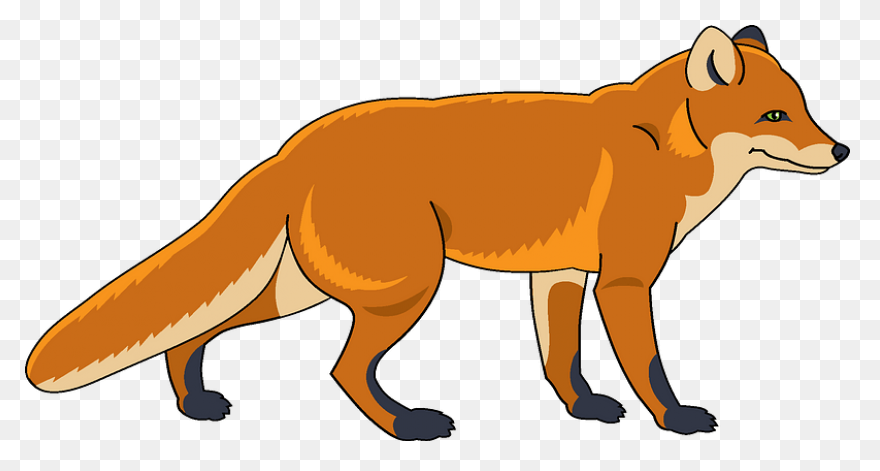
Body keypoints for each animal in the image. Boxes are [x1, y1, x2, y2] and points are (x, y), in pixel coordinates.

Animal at [26, 25, 849, 440]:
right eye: (775, 116)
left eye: (806, 108)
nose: (841, 150)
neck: (666, 150)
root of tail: (294, 146)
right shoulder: (624, 280)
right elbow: (646, 364)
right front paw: (675, 420)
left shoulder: (557, 274)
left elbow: (561, 359)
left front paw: (582, 411)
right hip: (406, 287)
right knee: (342, 371)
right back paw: (405, 426)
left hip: (303, 290)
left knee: (191, 336)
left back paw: (196, 404)